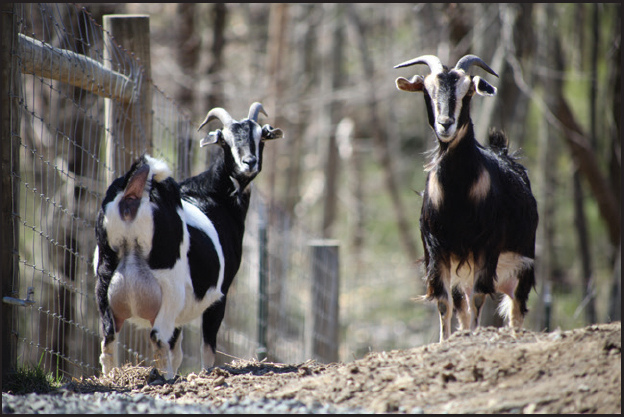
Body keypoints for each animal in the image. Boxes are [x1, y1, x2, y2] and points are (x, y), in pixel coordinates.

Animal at [93, 101, 282, 376]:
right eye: (225, 140)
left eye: (260, 137)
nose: (249, 162)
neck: (215, 196)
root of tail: (135, 193)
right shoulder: (220, 295)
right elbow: (207, 348)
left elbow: (178, 350)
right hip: (169, 288)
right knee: (158, 337)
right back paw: (167, 378)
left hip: (104, 281)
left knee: (108, 338)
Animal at [398, 54, 540, 342]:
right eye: (427, 91)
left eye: (467, 92)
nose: (445, 124)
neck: (457, 196)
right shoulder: (437, 249)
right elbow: (444, 302)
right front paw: (445, 341)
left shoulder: (487, 247)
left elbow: (478, 297)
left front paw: (475, 334)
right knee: (461, 304)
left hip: (522, 264)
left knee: (516, 309)